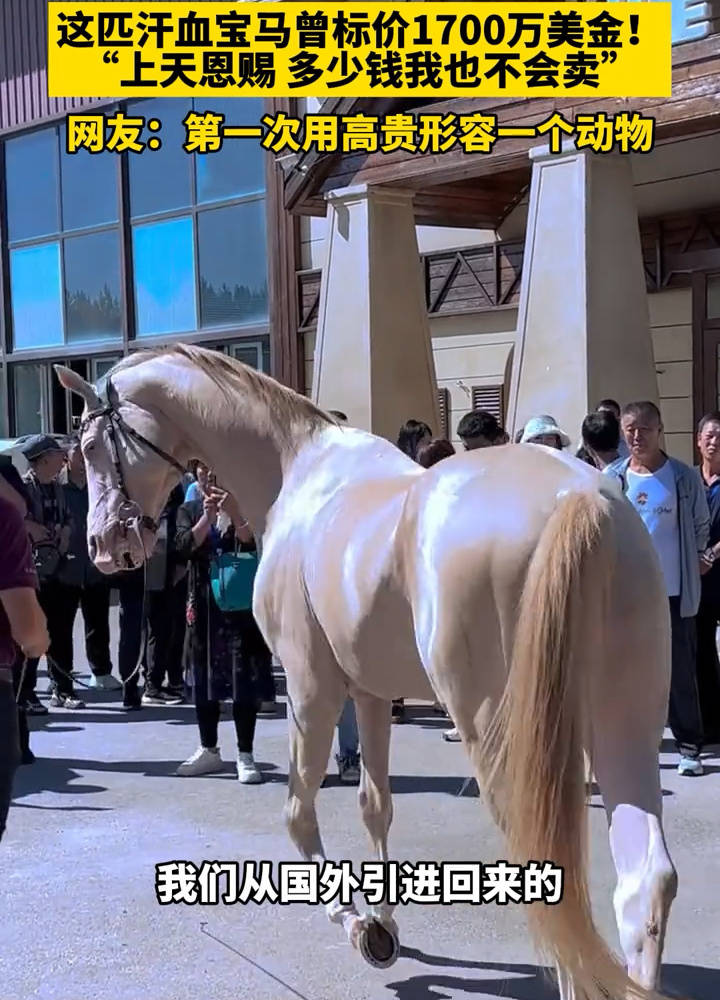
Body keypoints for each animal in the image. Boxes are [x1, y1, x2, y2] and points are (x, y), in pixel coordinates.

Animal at [55, 345, 680, 1000]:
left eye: (91, 444)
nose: (104, 547)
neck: (298, 470)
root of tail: (577, 501)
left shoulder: (312, 690)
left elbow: (297, 812)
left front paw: (356, 922)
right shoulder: (373, 693)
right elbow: (375, 803)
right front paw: (383, 923)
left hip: (498, 731)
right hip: (620, 723)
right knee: (642, 883)